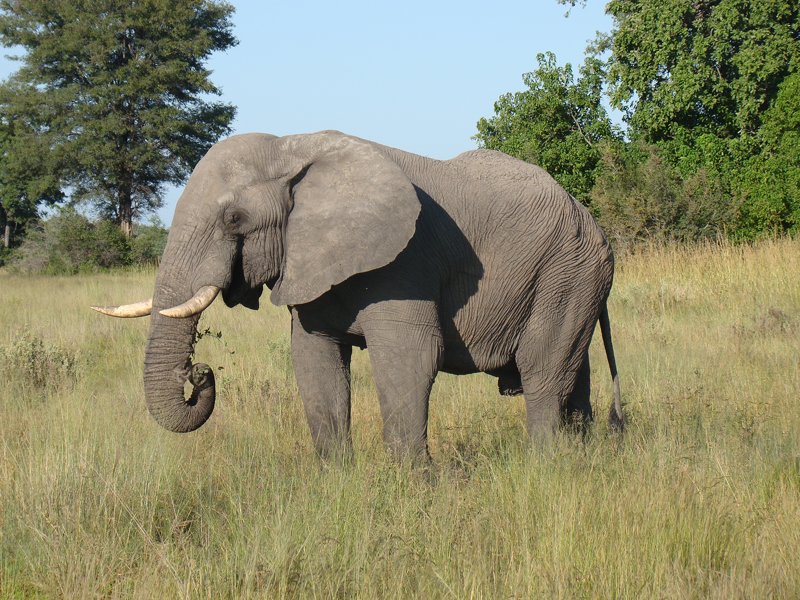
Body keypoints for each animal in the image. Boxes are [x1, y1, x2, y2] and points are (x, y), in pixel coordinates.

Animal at [92, 129, 620, 462]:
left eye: (234, 219)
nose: (200, 372)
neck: (291, 148)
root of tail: (593, 221)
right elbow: (314, 361)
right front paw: (336, 484)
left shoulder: (405, 261)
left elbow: (409, 358)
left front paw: (413, 491)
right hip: (572, 280)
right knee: (574, 373)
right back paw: (584, 457)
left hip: (568, 273)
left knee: (543, 372)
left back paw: (545, 468)